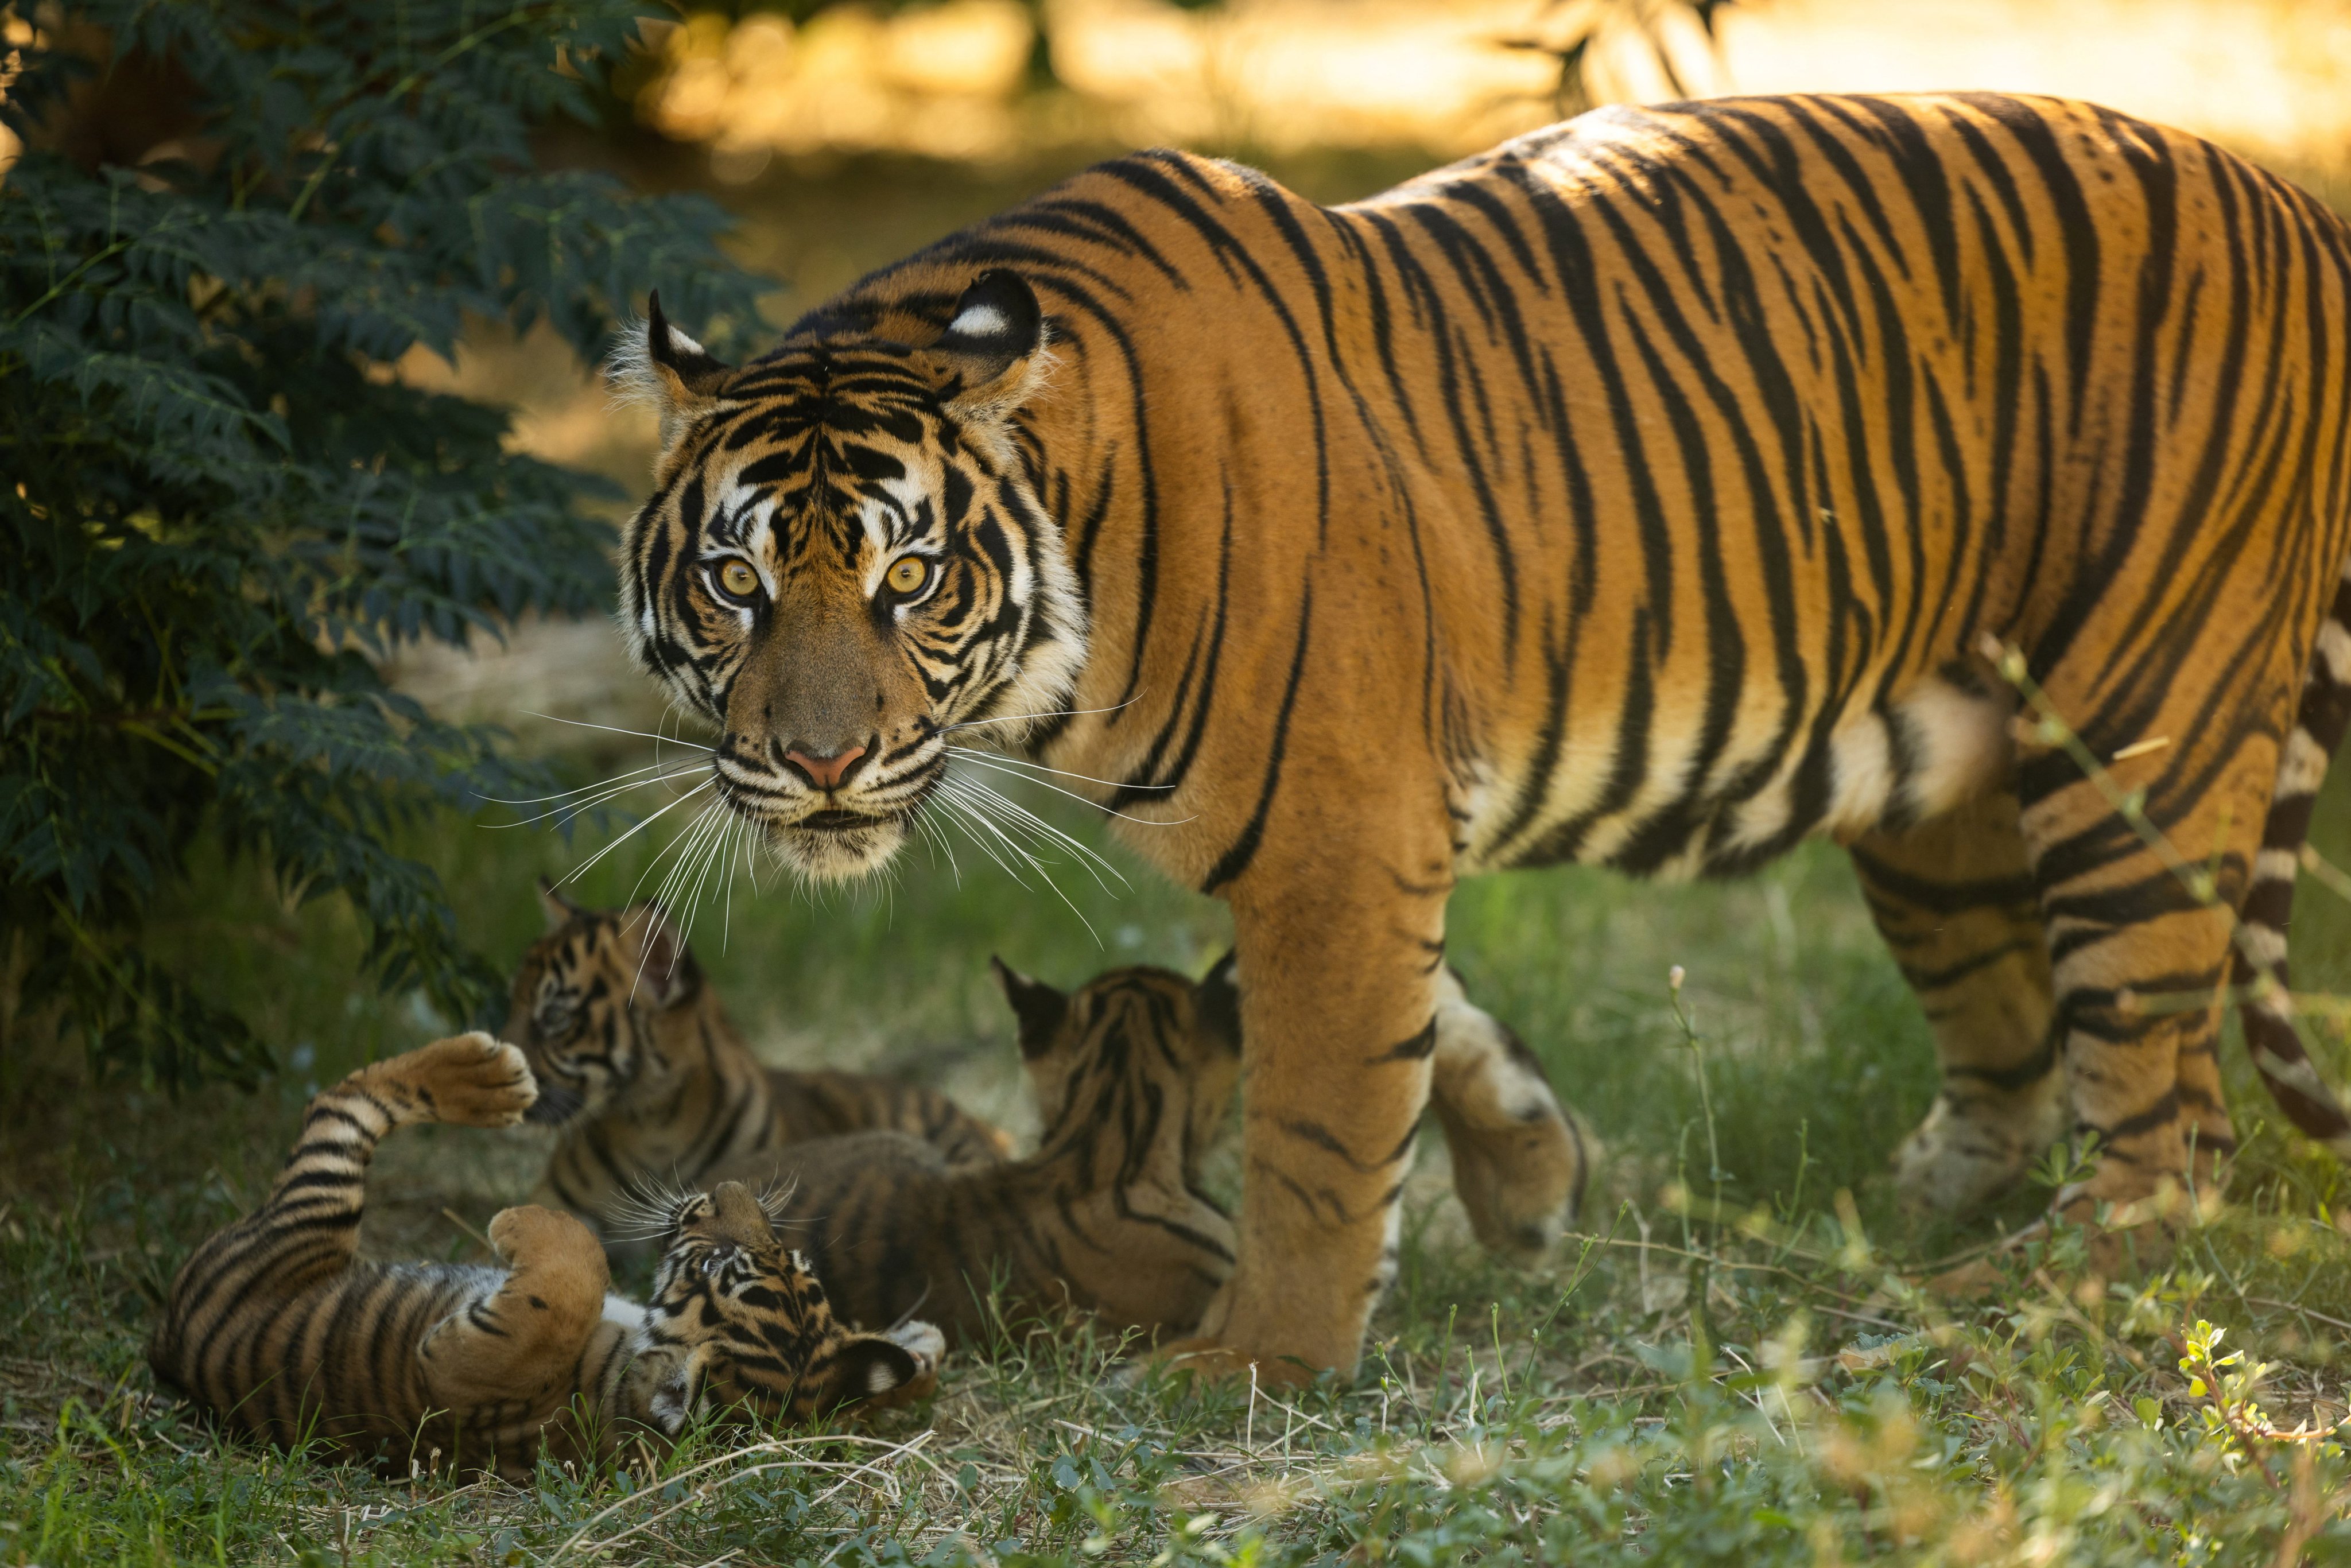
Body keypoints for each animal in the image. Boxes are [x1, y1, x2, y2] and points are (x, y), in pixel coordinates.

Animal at [148, 1032, 943, 1480]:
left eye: (714, 1266)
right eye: (786, 1254)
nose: (727, 1189)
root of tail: (166, 1346)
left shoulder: (468, 1369)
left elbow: (567, 1284)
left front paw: (524, 1220)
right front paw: (916, 1344)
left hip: (312, 1208)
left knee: (349, 1102)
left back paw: (491, 1075)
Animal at [610, 90, 2351, 1381]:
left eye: (906, 578)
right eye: (735, 581)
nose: (822, 765)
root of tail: (2284, 195)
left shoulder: (1338, 829)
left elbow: (1319, 1119)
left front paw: (1263, 1361)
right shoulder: (1359, 830)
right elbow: (1421, 1025)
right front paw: (1531, 1179)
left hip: (2137, 739)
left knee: (2170, 1122)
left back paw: (2006, 1294)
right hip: (1941, 797)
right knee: (2020, 1046)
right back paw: (1890, 1225)